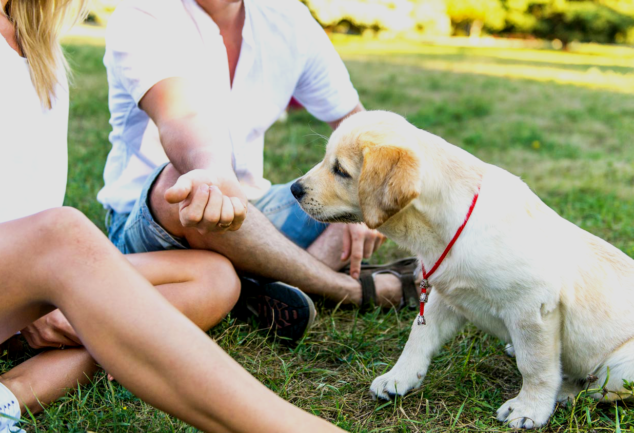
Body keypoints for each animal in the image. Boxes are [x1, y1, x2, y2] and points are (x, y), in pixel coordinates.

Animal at [292, 109, 634, 426]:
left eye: (340, 170)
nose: (294, 189)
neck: (450, 228)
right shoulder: (446, 295)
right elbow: (417, 338)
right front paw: (398, 378)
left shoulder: (533, 307)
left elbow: (535, 366)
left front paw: (529, 409)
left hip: (620, 365)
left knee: (600, 388)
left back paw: (565, 393)